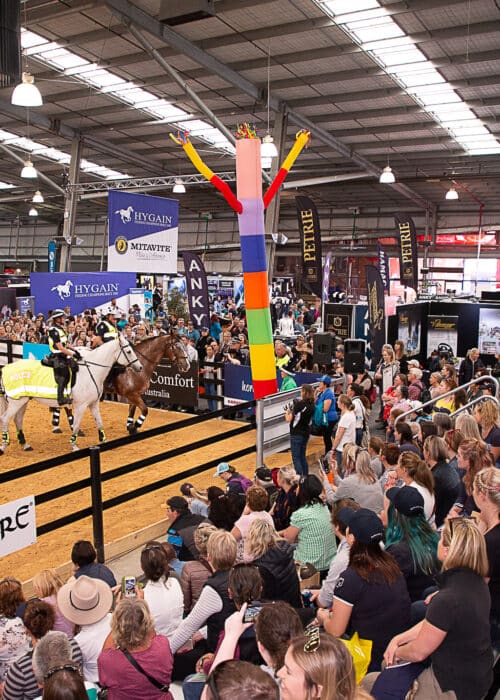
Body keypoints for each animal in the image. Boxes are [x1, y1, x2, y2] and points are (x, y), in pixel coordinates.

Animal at [0, 334, 143, 454]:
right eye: (129, 351)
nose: (140, 367)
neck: (91, 370)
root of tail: (6, 368)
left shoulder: (93, 403)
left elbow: (99, 422)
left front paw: (104, 441)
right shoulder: (81, 406)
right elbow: (76, 425)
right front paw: (74, 446)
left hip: (23, 401)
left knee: (17, 420)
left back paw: (25, 445)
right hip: (16, 402)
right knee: (5, 419)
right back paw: (4, 445)